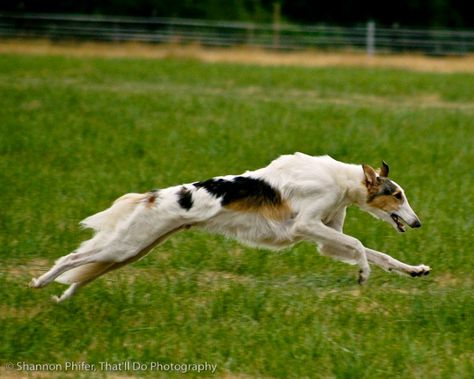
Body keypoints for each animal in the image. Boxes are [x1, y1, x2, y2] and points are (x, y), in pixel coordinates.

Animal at [28, 153, 430, 304]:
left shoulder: (326, 238)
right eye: (396, 195)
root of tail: (152, 196)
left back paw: (62, 297)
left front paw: (415, 269)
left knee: (84, 271)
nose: (417, 222)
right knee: (71, 258)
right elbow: (361, 246)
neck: (342, 181)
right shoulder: (307, 225)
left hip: (134, 250)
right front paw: (362, 275)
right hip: (126, 246)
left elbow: (382, 255)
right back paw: (40, 281)